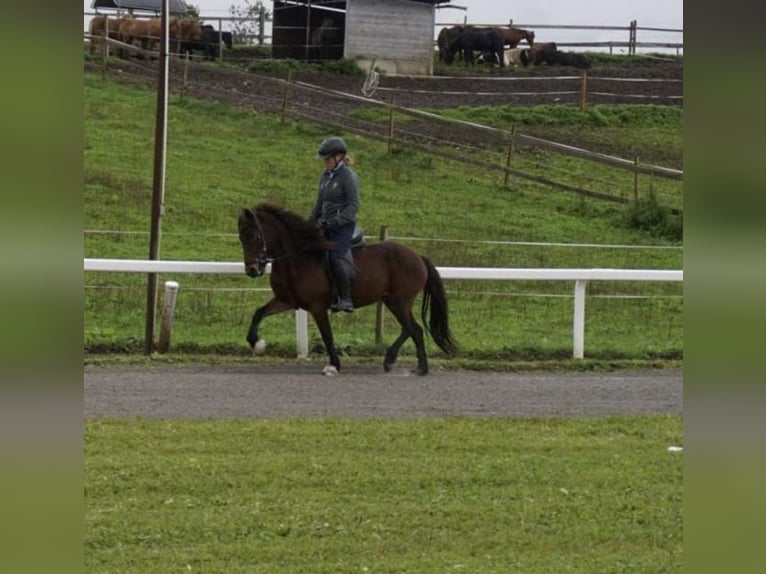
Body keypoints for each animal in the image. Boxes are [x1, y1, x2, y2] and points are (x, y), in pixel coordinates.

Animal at [238, 203, 458, 375]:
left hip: (399, 301)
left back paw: (391, 360)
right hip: (393, 301)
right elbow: (258, 313)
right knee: (415, 330)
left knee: (411, 328)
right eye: (241, 237)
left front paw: (334, 365)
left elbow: (327, 335)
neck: (298, 258)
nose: (252, 270)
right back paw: (420, 368)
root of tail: (418, 257)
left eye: (255, 236)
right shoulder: (287, 301)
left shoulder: (317, 307)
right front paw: (257, 343)